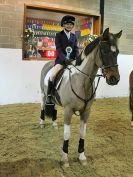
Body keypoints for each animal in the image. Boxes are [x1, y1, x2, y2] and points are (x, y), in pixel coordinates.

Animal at [39, 28, 121, 167]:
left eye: (118, 52)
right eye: (104, 51)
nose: (114, 79)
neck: (81, 81)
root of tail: (48, 63)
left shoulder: (86, 111)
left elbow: (83, 133)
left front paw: (82, 156)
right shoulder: (68, 110)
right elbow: (67, 134)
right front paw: (64, 159)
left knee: (54, 107)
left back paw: (54, 124)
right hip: (43, 94)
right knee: (43, 106)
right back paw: (42, 123)